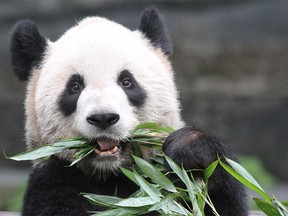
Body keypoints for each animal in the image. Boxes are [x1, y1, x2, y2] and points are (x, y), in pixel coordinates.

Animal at [10, 5, 246, 215]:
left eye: (126, 82)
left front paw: (190, 151)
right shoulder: (55, 177)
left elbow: (214, 201)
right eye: (75, 86)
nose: (103, 118)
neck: (112, 174)